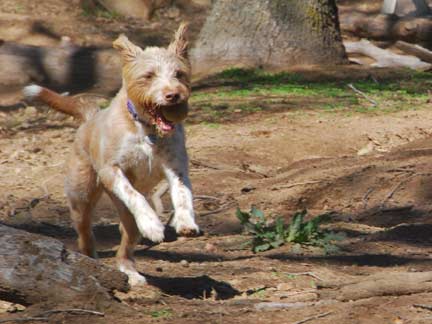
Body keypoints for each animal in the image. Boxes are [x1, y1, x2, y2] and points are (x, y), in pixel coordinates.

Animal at [23, 23, 199, 286]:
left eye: (179, 73)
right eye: (148, 75)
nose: (173, 95)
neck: (146, 130)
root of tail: (90, 117)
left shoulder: (176, 167)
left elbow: (182, 193)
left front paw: (186, 221)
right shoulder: (112, 170)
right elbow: (134, 194)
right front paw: (152, 225)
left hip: (125, 219)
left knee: (126, 245)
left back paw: (130, 272)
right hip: (81, 198)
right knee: (85, 235)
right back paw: (92, 261)